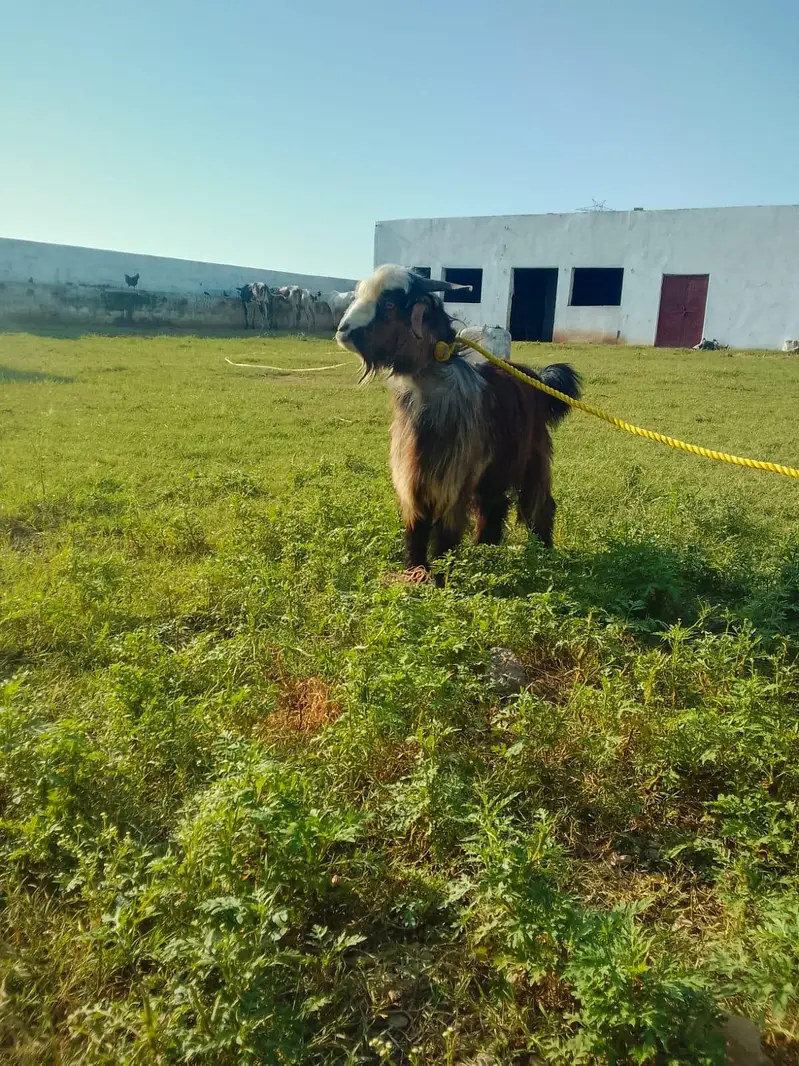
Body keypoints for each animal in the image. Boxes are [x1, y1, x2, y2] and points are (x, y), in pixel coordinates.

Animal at [336, 265, 581, 574]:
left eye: (389, 304)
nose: (342, 330)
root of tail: (537, 378)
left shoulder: (451, 479)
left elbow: (444, 533)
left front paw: (441, 576)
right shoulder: (413, 475)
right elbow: (416, 526)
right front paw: (415, 570)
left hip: (532, 457)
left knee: (539, 504)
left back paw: (543, 552)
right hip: (495, 466)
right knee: (494, 504)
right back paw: (486, 548)